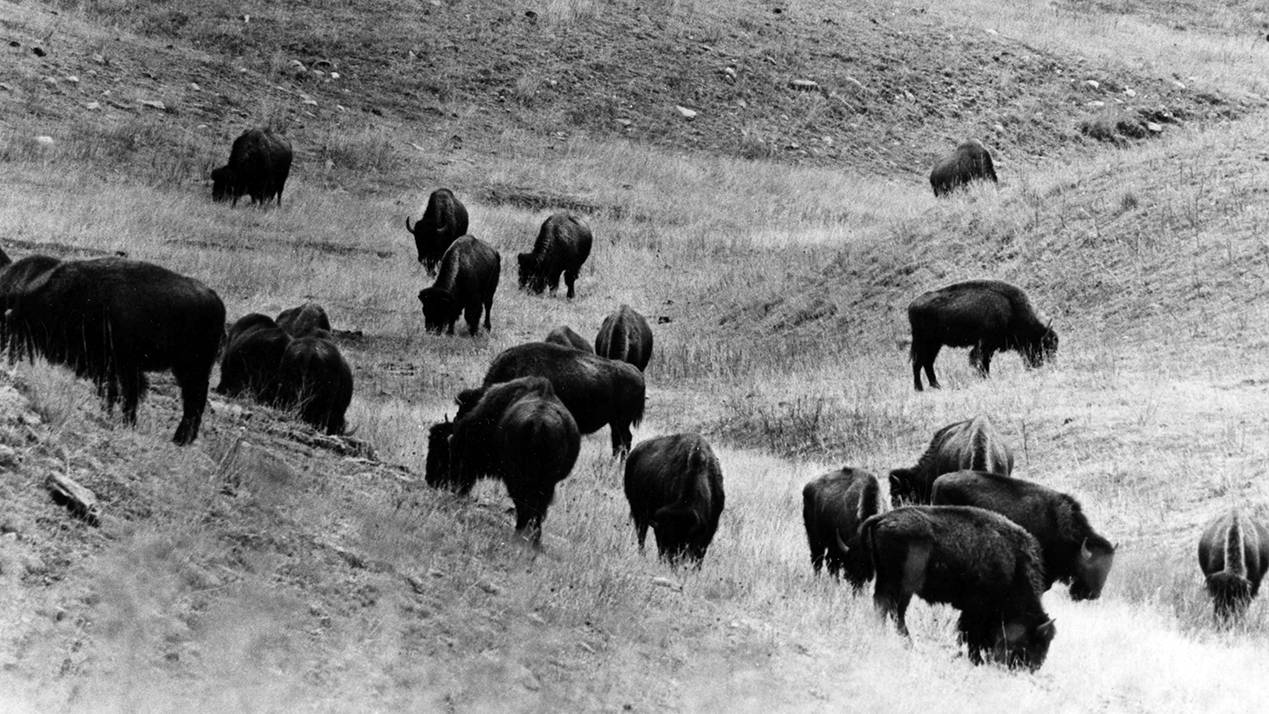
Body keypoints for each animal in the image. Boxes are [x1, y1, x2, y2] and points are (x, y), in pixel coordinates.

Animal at [0, 254, 225, 445]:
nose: (7, 356)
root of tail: (215, 299)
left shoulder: (123, 366)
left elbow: (124, 395)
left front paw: (123, 422)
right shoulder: (110, 367)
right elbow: (115, 393)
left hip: (192, 368)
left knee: (194, 401)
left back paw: (180, 439)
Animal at [426, 377, 580, 544]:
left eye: (441, 449)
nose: (430, 480)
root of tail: (539, 423)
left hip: (519, 479)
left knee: (525, 505)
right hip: (543, 482)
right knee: (535, 509)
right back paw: (533, 540)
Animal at [623, 433, 725, 565]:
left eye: (683, 539)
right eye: (665, 540)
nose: (671, 561)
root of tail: (634, 452)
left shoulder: (708, 530)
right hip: (638, 512)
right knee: (641, 537)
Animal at [863, 505, 1056, 670]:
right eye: (1033, 641)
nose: (1031, 668)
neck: (1014, 566)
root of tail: (883, 518)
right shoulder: (976, 611)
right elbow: (970, 634)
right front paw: (976, 660)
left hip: (899, 586)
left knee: (894, 612)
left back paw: (905, 643)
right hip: (895, 583)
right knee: (887, 607)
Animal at [908, 280, 1057, 391]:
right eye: (1040, 345)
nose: (1037, 366)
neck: (1010, 308)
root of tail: (912, 305)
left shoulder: (989, 346)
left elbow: (984, 362)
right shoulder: (984, 344)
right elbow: (980, 361)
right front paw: (985, 378)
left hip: (935, 344)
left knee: (927, 362)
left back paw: (937, 386)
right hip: (924, 341)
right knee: (918, 363)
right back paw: (919, 388)